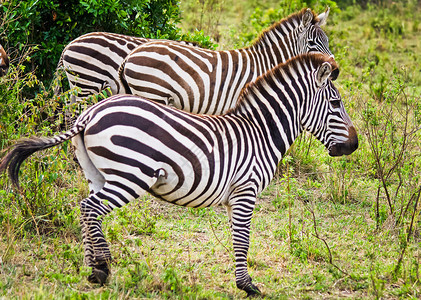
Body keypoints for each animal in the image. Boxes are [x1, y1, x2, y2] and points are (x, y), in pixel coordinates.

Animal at [0, 53, 358, 296]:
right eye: (336, 103)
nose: (354, 145)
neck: (259, 133)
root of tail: (90, 113)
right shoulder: (246, 190)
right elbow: (243, 239)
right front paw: (247, 285)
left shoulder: (234, 196)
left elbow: (236, 237)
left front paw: (243, 281)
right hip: (130, 174)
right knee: (91, 208)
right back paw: (101, 267)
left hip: (96, 172)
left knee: (85, 209)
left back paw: (93, 270)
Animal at [120, 7, 334, 115]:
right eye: (312, 43)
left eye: (328, 41)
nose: (335, 70)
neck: (266, 63)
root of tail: (132, 54)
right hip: (151, 92)